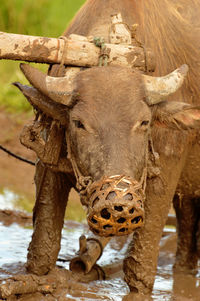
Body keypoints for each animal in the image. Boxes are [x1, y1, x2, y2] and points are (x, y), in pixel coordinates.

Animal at [14, 0, 200, 296]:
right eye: (79, 123)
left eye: (144, 122)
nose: (119, 203)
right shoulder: (49, 167)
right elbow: (42, 253)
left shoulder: (163, 176)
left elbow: (140, 269)